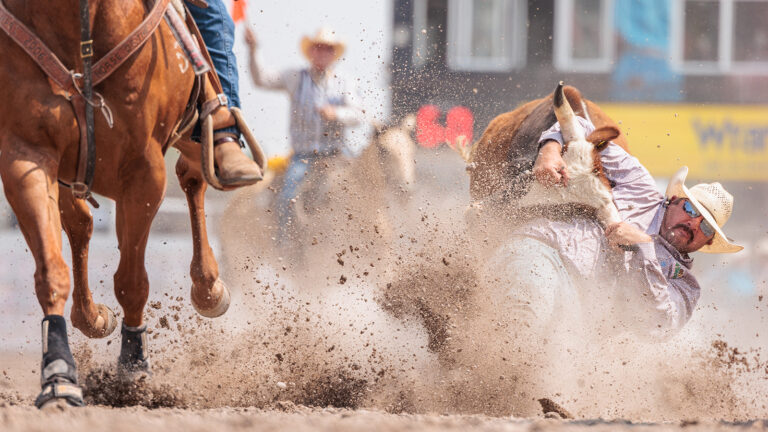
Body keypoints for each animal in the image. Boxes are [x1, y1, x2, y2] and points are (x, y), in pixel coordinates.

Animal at [0, 0, 246, 406]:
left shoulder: (144, 170)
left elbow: (132, 281)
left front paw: (133, 367)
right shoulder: (27, 154)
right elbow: (51, 269)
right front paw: (58, 375)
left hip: (193, 138)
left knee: (192, 178)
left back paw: (208, 288)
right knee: (80, 224)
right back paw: (91, 317)